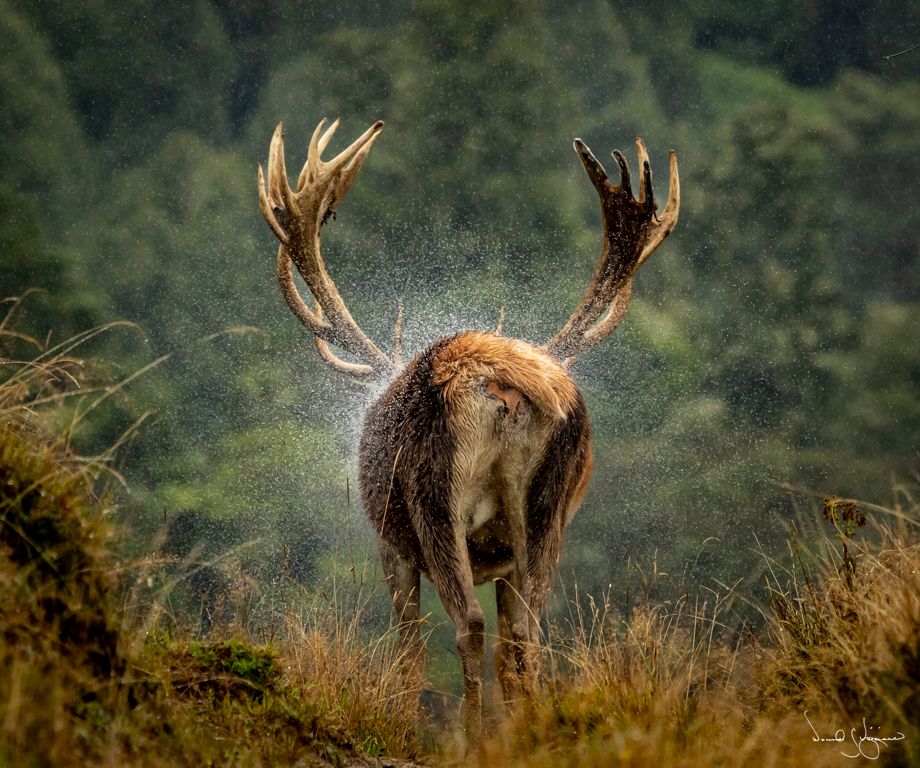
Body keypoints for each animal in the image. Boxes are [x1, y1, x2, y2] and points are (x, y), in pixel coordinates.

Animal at [255, 115, 680, 744]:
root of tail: (503, 381)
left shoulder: (390, 544)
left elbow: (408, 647)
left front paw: (405, 721)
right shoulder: (503, 559)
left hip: (434, 497)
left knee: (469, 625)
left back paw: (474, 732)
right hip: (547, 507)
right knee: (525, 629)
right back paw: (524, 727)